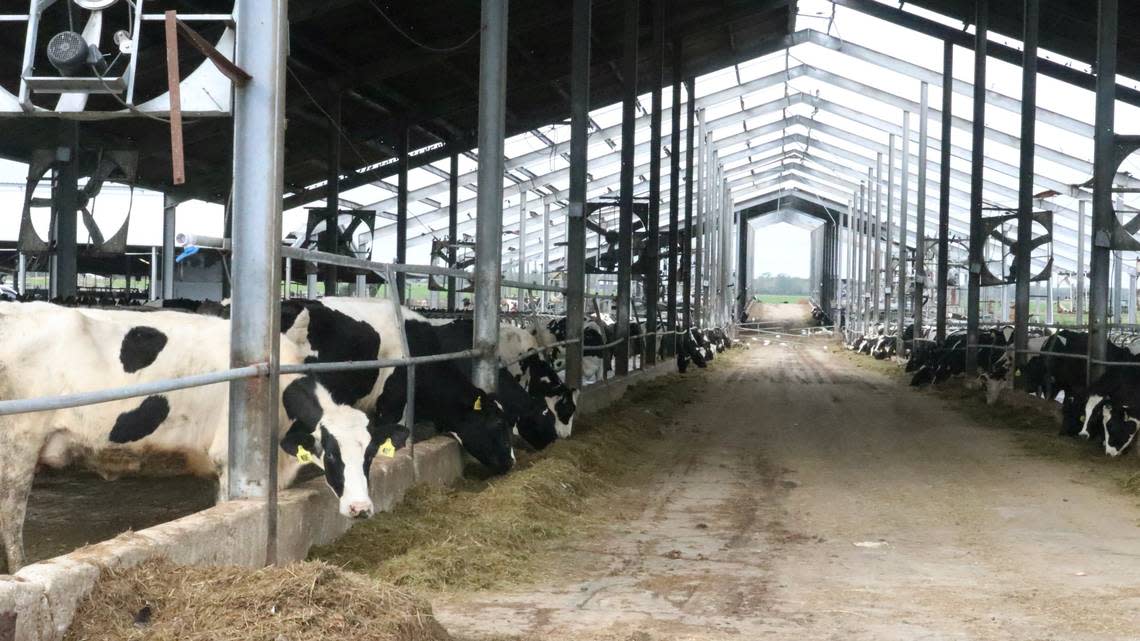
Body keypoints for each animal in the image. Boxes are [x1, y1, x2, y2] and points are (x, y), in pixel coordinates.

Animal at [0, 301, 383, 570]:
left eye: (369, 454)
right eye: (330, 453)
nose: (361, 508)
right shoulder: (228, 457)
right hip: (19, 443)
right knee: (11, 514)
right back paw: (19, 566)